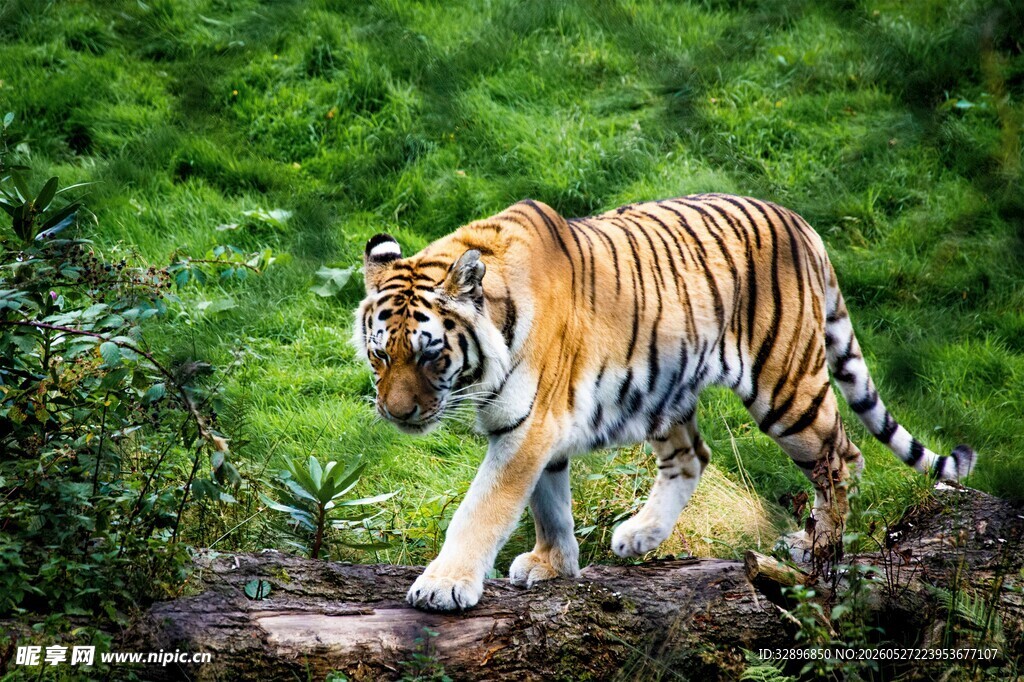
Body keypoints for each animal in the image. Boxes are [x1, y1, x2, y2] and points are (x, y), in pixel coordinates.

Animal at [353, 194, 976, 612]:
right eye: (380, 355)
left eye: (430, 355)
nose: (396, 414)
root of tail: (801, 223)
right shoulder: (539, 428)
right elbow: (549, 504)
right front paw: (554, 565)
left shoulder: (528, 426)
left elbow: (483, 508)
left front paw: (444, 584)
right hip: (662, 388)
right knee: (692, 457)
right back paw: (641, 536)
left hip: (787, 390)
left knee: (843, 458)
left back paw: (817, 548)